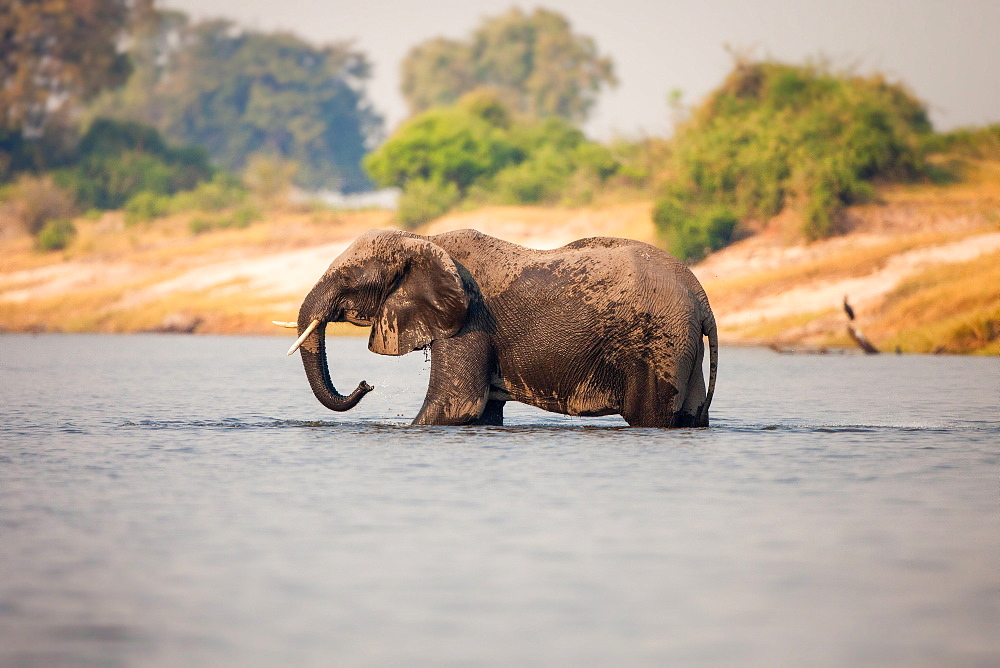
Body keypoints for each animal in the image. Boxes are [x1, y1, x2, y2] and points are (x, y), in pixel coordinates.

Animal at [286, 228, 716, 428]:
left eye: (348, 280)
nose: (366, 385)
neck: (424, 240)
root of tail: (701, 297)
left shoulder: (470, 321)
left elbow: (454, 406)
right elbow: (482, 413)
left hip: (658, 345)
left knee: (650, 416)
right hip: (682, 348)